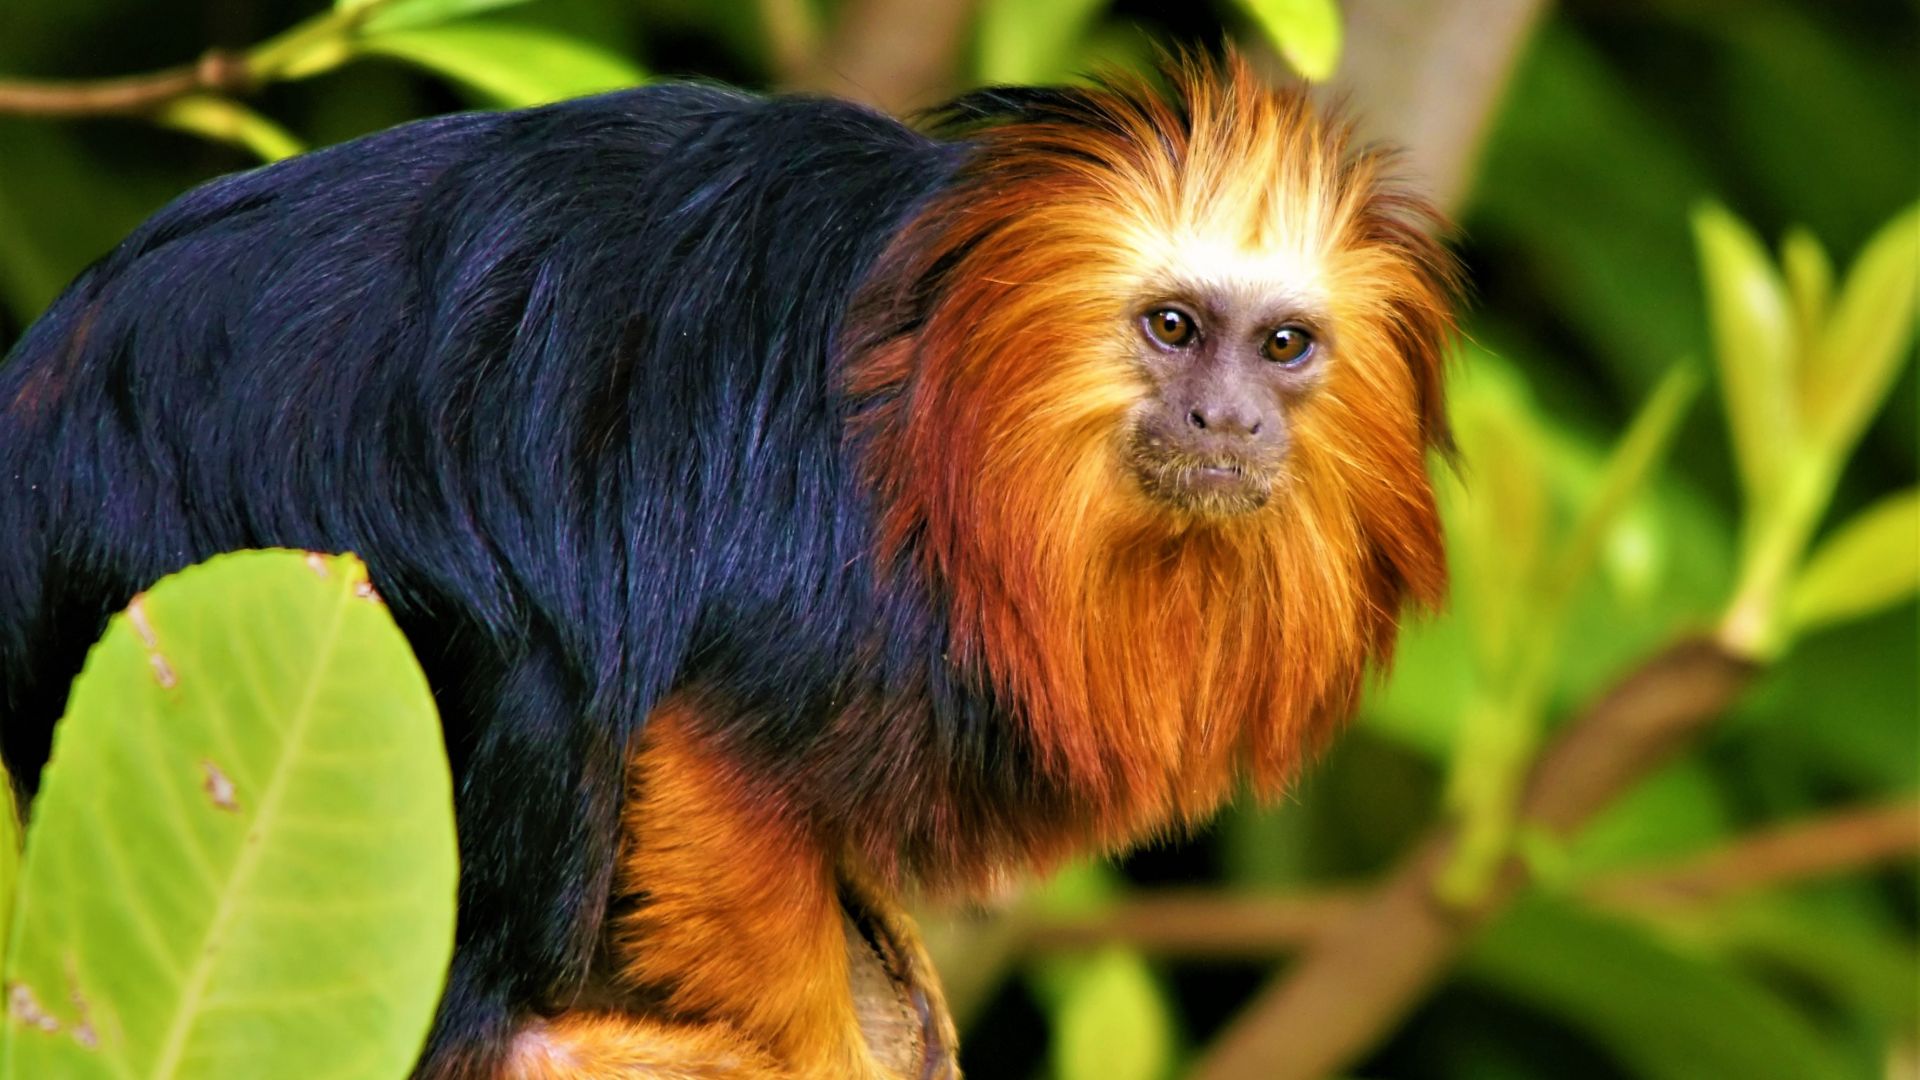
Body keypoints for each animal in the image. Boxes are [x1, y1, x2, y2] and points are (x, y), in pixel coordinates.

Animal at [0, 50, 1455, 1078]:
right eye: (1173, 329)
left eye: (1284, 346)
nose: (1229, 421)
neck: (950, 412)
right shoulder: (817, 571)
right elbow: (703, 754)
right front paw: (814, 1047)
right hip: (193, 581)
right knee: (525, 656)